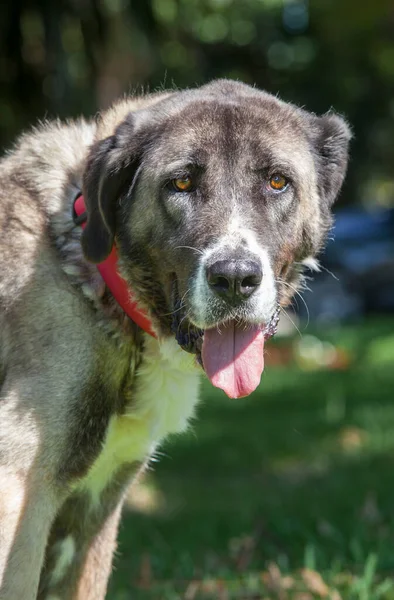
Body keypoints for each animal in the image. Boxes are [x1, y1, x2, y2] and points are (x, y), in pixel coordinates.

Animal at [0, 81, 350, 600]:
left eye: (277, 182)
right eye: (181, 184)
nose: (234, 278)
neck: (103, 287)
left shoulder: (94, 507)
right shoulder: (22, 493)